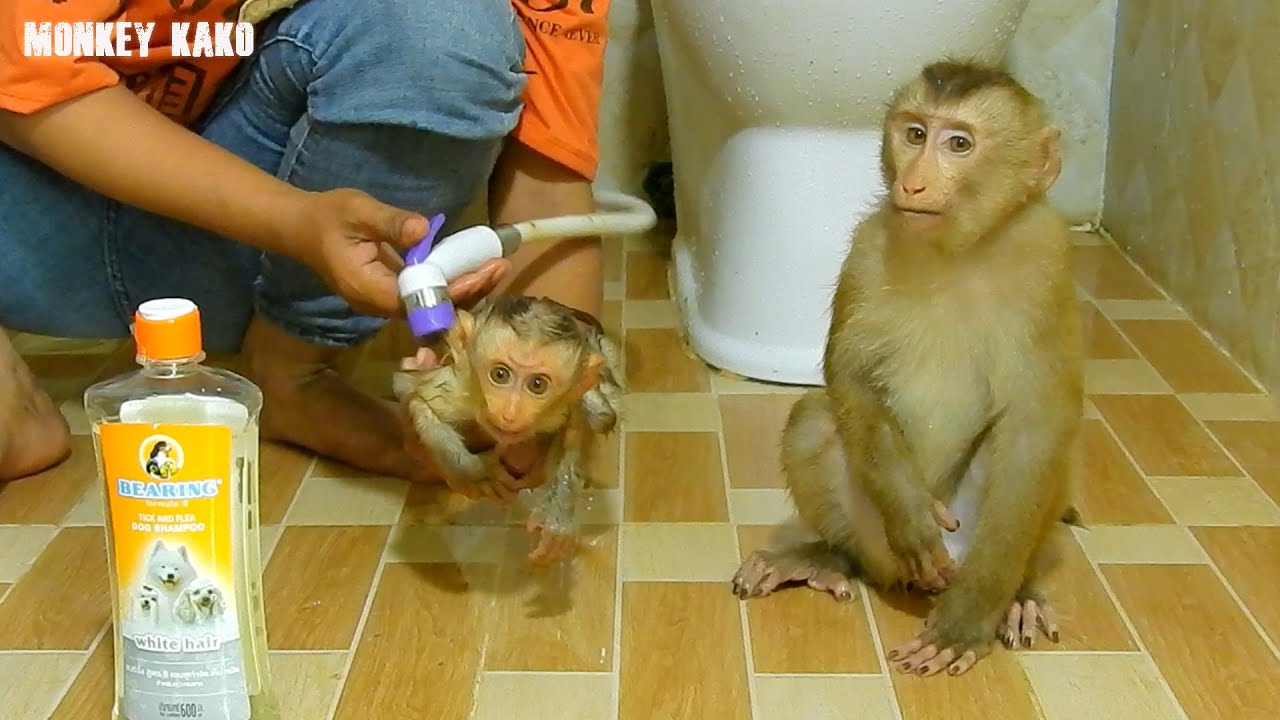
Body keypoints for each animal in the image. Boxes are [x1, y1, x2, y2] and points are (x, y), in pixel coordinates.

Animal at [394, 295, 623, 565]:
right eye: (500, 374)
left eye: (537, 384)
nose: (510, 413)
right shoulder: (455, 387)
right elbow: (412, 395)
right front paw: (473, 474)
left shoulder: (566, 405)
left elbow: (576, 432)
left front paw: (557, 516)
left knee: (602, 415)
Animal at [730, 60, 1084, 678]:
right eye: (915, 134)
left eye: (959, 144)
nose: (913, 183)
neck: (960, 251)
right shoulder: (868, 246)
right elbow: (849, 377)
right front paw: (912, 517)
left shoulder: (1049, 261)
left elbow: (1035, 430)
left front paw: (970, 618)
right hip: (880, 545)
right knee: (815, 420)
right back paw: (830, 557)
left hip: (966, 540)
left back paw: (1017, 594)